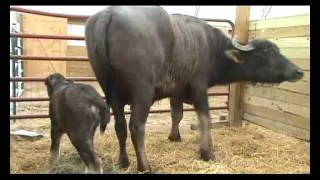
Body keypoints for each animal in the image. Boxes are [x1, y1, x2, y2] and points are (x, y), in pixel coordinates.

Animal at [84, 5, 304, 173]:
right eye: (267, 52)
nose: (298, 71)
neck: (213, 48)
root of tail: (108, 14)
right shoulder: (199, 89)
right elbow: (205, 118)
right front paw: (208, 152)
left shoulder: (176, 92)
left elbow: (177, 114)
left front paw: (174, 136)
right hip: (142, 93)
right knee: (136, 127)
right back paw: (144, 166)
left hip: (112, 94)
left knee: (120, 126)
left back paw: (124, 161)